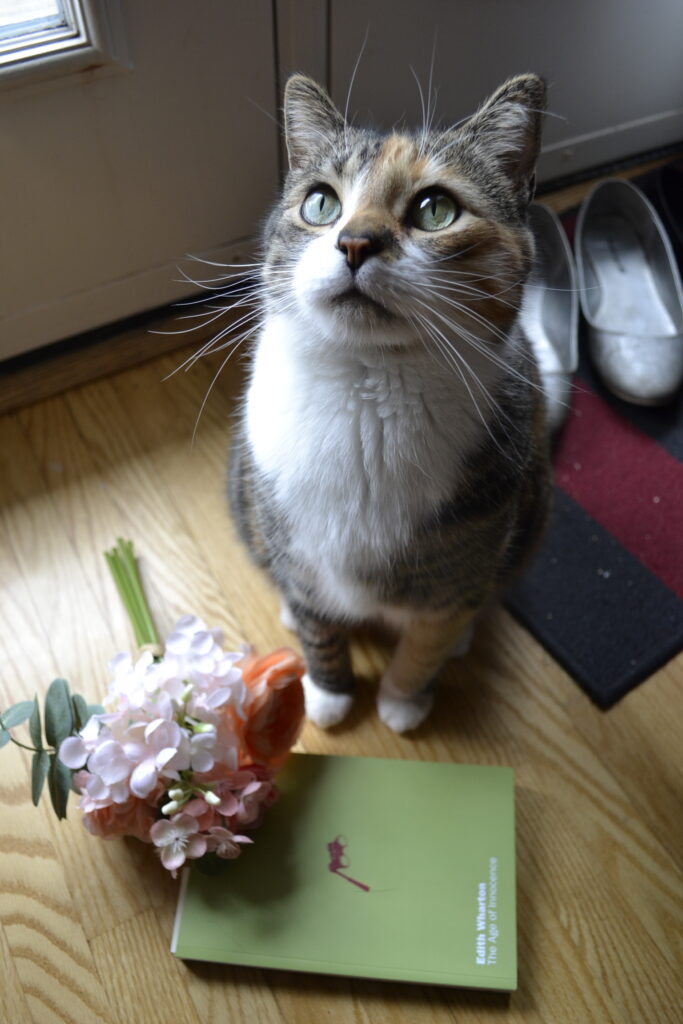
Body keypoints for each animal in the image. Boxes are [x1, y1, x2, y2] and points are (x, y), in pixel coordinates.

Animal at [229, 72, 557, 733]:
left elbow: (428, 639)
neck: (366, 388)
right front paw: (328, 693)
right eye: (320, 204)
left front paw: (403, 702)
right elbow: (318, 623)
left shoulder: (458, 573)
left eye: (436, 210)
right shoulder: (295, 540)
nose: (356, 242)